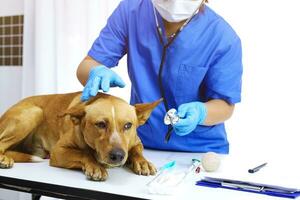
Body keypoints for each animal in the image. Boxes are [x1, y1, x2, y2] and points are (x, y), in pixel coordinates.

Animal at [0, 92, 162, 181]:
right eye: (101, 124)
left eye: (128, 125)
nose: (118, 155)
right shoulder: (58, 151)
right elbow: (83, 154)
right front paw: (95, 166)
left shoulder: (136, 142)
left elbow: (136, 151)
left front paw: (143, 162)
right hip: (34, 112)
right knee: (1, 143)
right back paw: (3, 159)